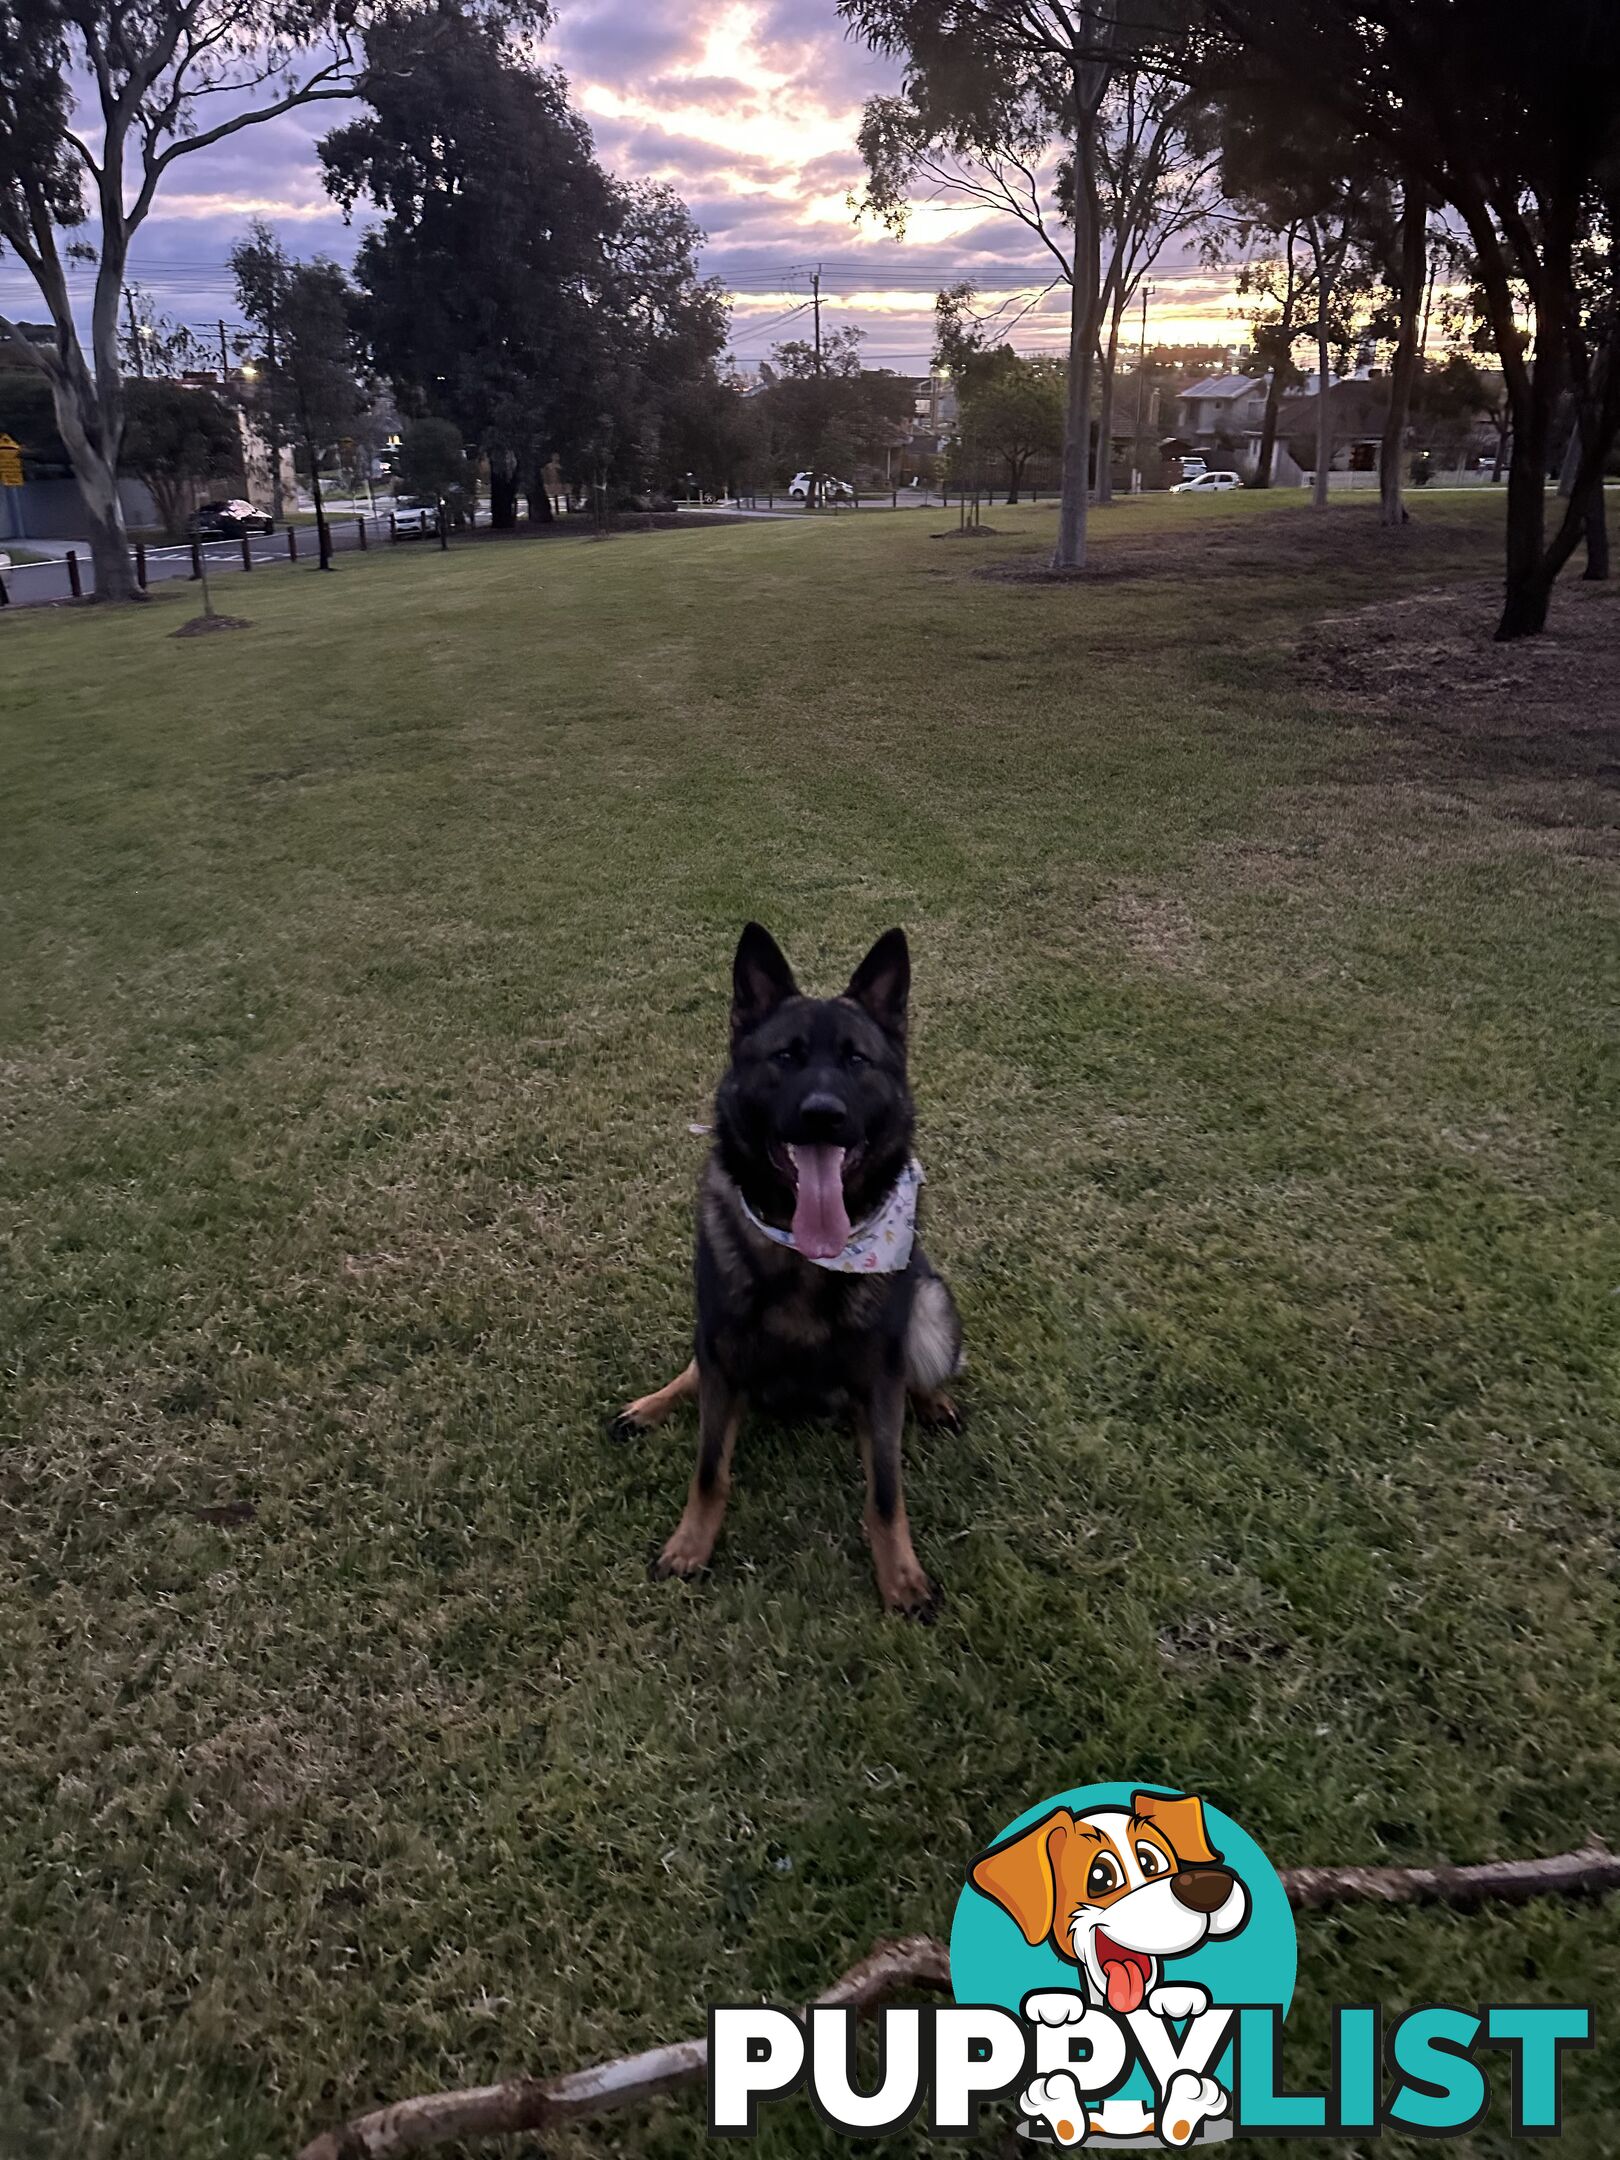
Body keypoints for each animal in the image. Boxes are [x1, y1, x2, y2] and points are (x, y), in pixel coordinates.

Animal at [613, 928, 959, 1624]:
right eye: (787, 1056)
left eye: (856, 1060)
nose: (823, 1114)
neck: (807, 1252)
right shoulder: (722, 1352)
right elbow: (709, 1469)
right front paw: (690, 1545)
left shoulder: (879, 1379)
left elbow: (886, 1492)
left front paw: (900, 1577)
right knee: (691, 1373)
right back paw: (651, 1405)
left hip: (932, 1304)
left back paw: (933, 1398)